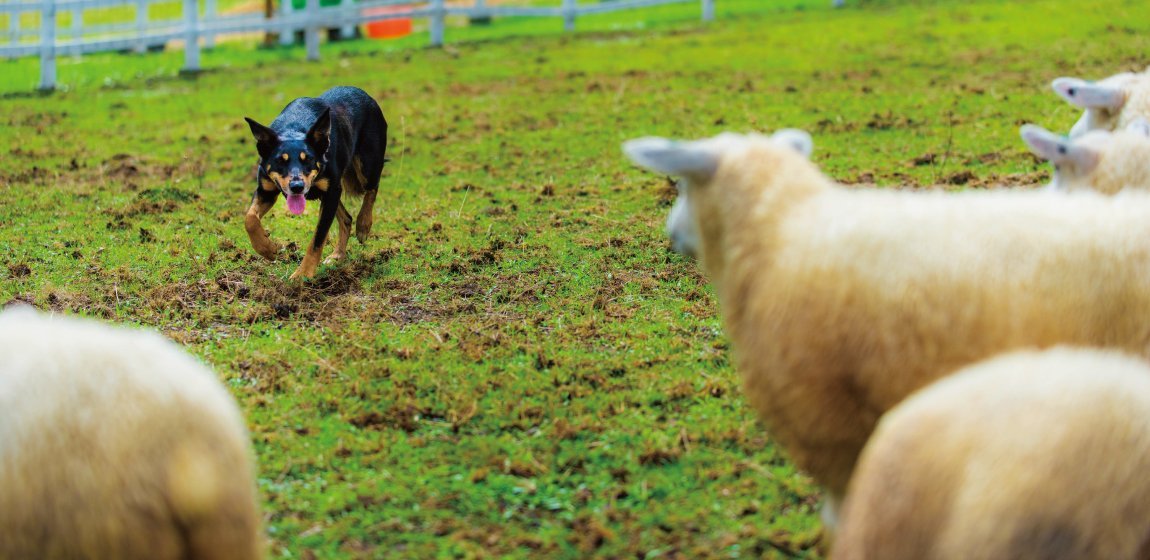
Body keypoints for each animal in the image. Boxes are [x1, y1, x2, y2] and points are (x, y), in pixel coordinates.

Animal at [242, 86, 386, 280]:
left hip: (366, 165)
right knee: (346, 218)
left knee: (372, 187)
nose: (297, 187)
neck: (293, 128)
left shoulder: (332, 191)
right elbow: (249, 218)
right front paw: (267, 248)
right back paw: (337, 255)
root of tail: (365, 95)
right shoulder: (266, 190)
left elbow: (318, 237)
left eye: (308, 159)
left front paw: (303, 274)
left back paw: (363, 225)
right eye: (280, 160)